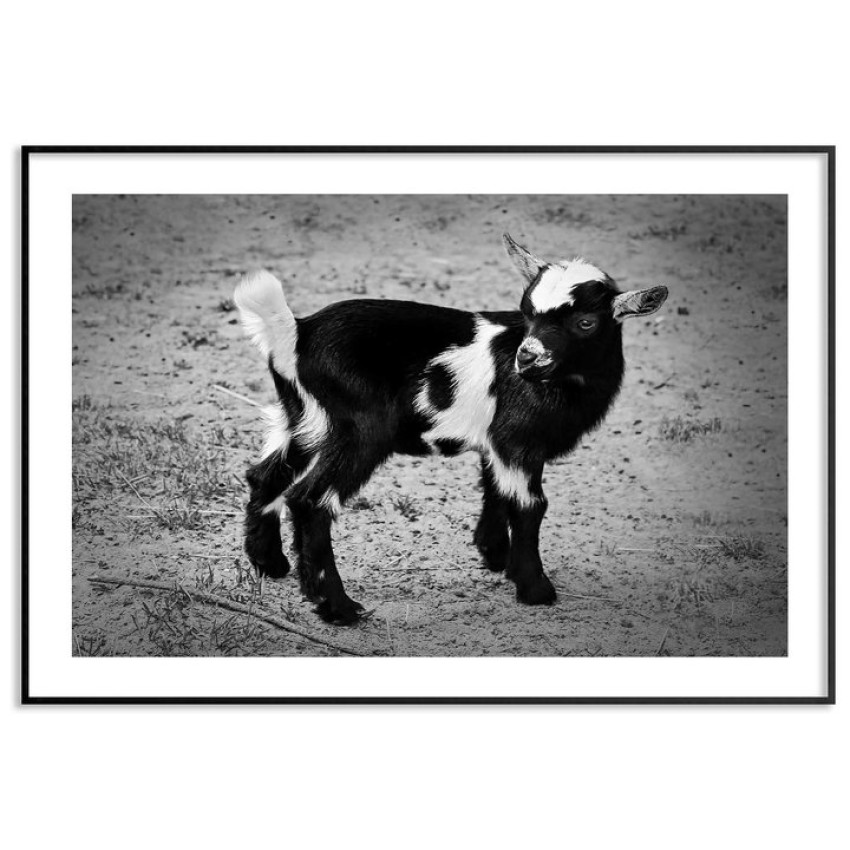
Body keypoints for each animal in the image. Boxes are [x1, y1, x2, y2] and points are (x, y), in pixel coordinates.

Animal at [234, 234, 668, 625]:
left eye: (585, 322)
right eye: (528, 312)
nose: (526, 358)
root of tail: (296, 334)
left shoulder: (498, 441)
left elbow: (495, 489)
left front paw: (495, 555)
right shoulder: (517, 440)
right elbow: (530, 505)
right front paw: (535, 589)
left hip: (303, 416)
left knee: (266, 474)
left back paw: (272, 564)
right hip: (359, 430)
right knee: (311, 500)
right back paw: (339, 608)